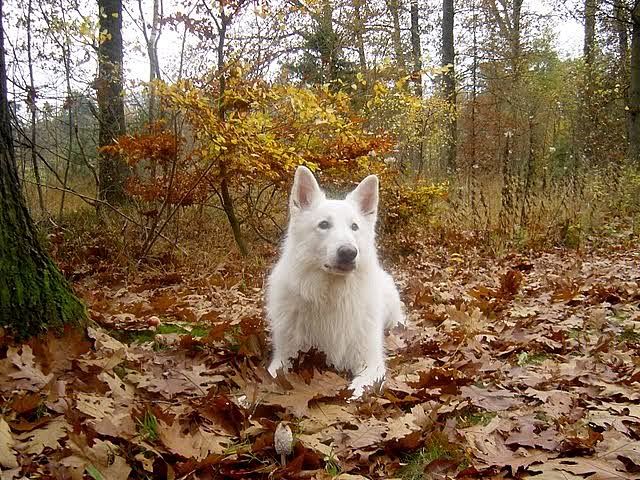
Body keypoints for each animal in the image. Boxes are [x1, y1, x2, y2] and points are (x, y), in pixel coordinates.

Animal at [265, 166, 405, 397]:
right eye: (324, 224)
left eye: (354, 227)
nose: (349, 252)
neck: (332, 294)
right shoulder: (284, 357)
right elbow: (267, 379)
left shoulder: (371, 363)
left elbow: (357, 392)